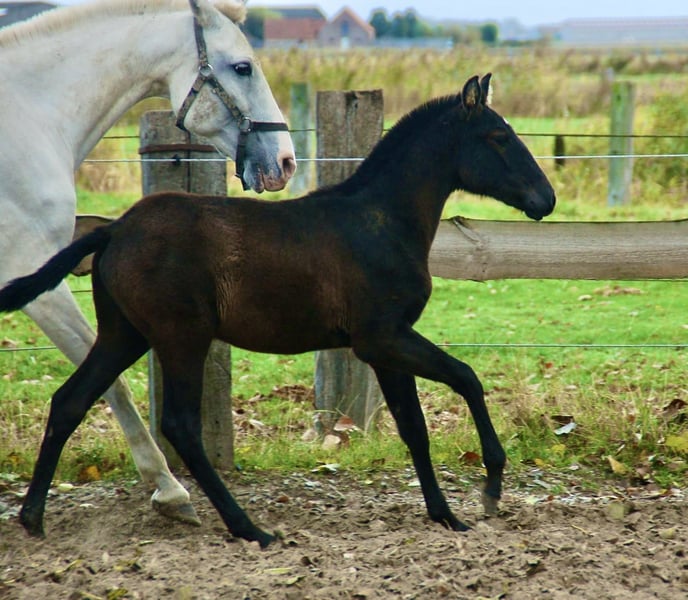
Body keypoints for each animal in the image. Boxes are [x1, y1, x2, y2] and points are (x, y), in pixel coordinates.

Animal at [0, 0, 295, 526]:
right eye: (243, 67)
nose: (285, 161)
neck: (31, 119)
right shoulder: (37, 283)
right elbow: (111, 384)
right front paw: (169, 489)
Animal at [0, 74, 556, 548]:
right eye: (497, 136)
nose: (546, 199)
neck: (380, 222)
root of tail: (114, 230)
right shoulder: (383, 337)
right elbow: (467, 378)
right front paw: (491, 488)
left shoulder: (385, 348)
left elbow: (414, 427)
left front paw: (447, 515)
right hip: (182, 337)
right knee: (179, 424)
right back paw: (250, 528)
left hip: (124, 334)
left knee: (69, 402)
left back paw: (33, 517)